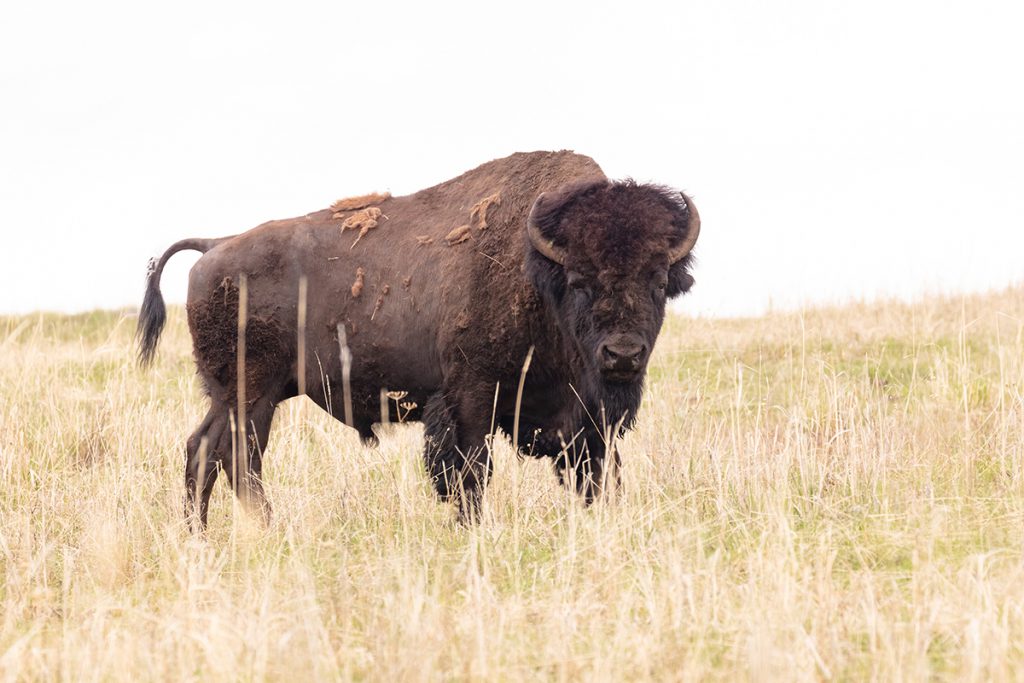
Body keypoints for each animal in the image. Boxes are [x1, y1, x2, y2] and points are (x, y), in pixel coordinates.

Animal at [138, 152, 696, 528]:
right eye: (579, 280)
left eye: (658, 279)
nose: (622, 354)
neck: (539, 272)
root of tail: (215, 246)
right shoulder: (471, 398)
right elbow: (470, 473)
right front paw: (471, 528)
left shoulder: (585, 418)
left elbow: (598, 473)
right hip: (250, 394)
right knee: (233, 456)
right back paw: (260, 530)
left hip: (240, 395)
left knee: (206, 451)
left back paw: (203, 536)